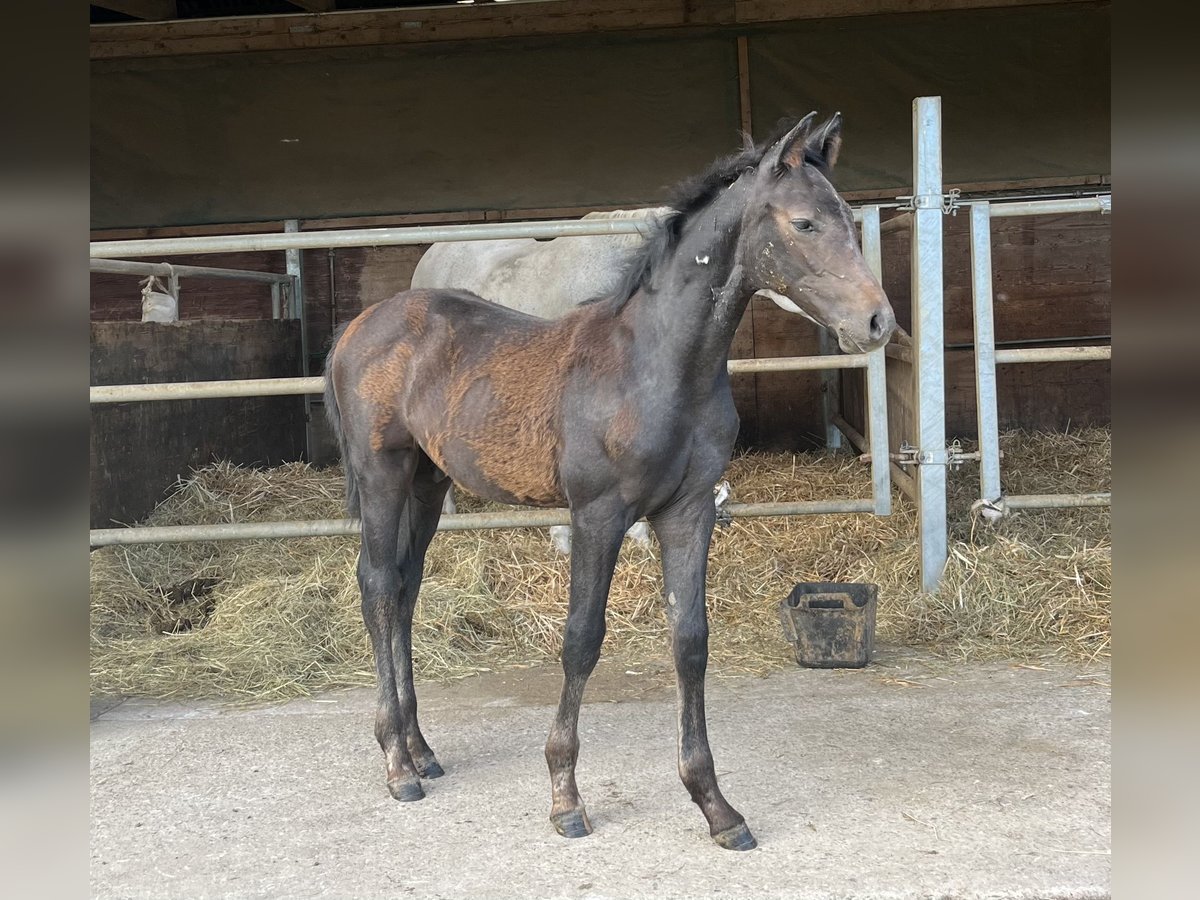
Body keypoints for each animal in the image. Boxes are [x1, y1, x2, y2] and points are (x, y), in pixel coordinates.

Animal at [326, 114, 892, 854]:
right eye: (803, 223)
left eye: (849, 220)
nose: (878, 323)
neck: (654, 365)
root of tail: (360, 326)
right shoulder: (597, 514)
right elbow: (581, 641)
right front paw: (565, 798)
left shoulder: (688, 512)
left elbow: (690, 642)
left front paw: (716, 807)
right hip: (382, 473)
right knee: (376, 585)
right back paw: (396, 763)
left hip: (427, 481)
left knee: (404, 588)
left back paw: (421, 750)